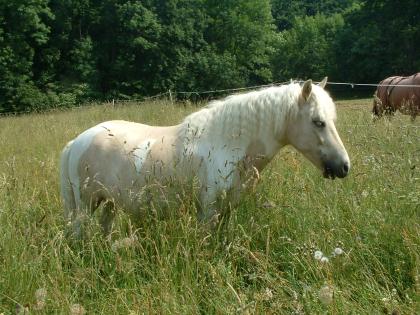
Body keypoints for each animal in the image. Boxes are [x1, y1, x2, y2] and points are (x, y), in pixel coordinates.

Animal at [60, 78, 352, 237]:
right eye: (318, 122)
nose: (343, 166)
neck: (228, 143)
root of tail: (77, 141)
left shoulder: (226, 210)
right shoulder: (208, 209)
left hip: (109, 203)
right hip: (85, 205)